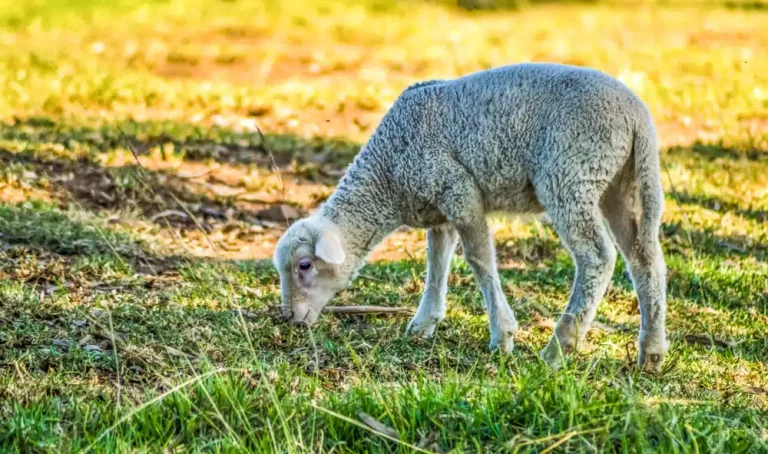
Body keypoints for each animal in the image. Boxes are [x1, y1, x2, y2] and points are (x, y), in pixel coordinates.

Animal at [272, 62, 668, 370]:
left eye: (304, 265)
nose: (290, 319)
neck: (388, 174)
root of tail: (637, 117)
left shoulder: (458, 190)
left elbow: (479, 260)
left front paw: (502, 336)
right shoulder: (438, 207)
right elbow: (437, 262)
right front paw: (423, 324)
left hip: (572, 172)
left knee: (598, 258)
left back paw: (559, 348)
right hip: (623, 182)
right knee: (645, 260)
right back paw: (651, 352)